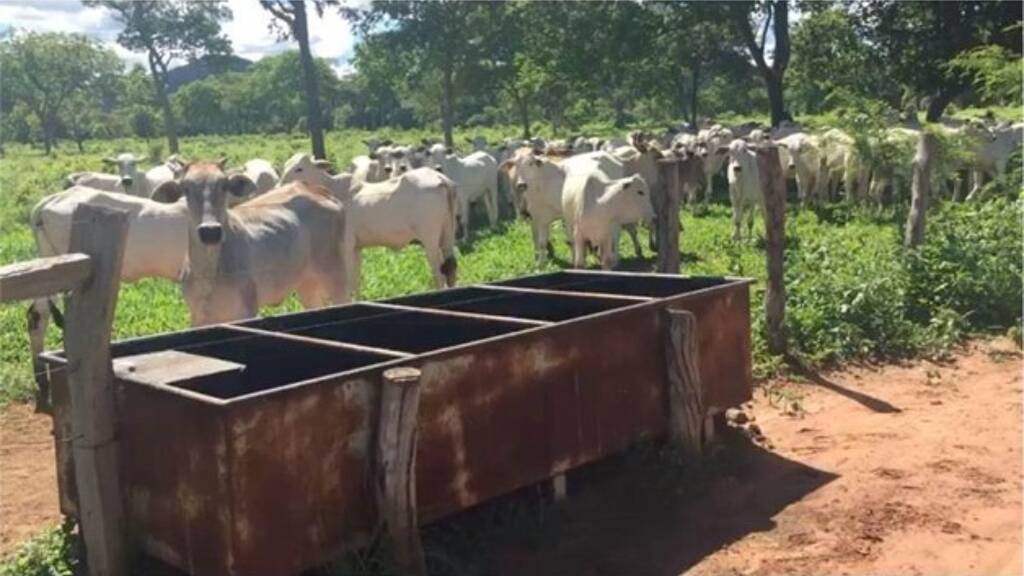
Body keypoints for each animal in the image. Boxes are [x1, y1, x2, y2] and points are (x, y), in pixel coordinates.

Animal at [151, 161, 352, 326]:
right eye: (185, 188)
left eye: (224, 186)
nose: (210, 231)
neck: (208, 271)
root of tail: (315, 189)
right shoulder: (199, 316)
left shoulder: (245, 310)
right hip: (306, 283)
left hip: (336, 275)